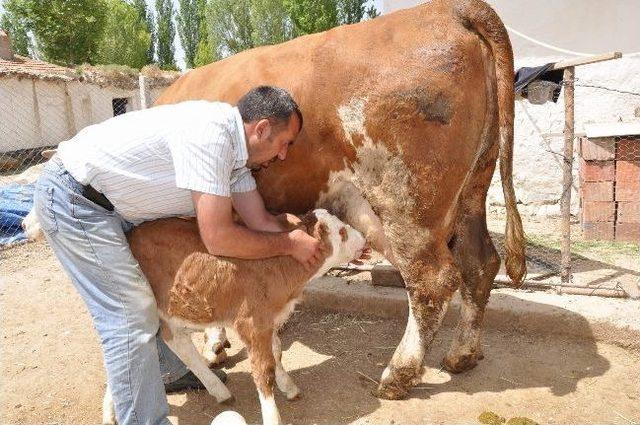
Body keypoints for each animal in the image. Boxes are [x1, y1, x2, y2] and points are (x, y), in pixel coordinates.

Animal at [102, 209, 368, 424]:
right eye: (342, 232)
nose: (364, 239)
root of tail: (129, 235)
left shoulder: (268, 320)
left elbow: (277, 351)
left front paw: (288, 386)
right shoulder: (252, 321)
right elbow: (263, 369)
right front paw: (272, 416)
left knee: (171, 344)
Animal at [158, 0, 528, 400]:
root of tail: (450, 9)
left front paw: (214, 343)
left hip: (405, 202)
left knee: (432, 279)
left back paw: (397, 376)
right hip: (471, 191)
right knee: (479, 263)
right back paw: (462, 354)